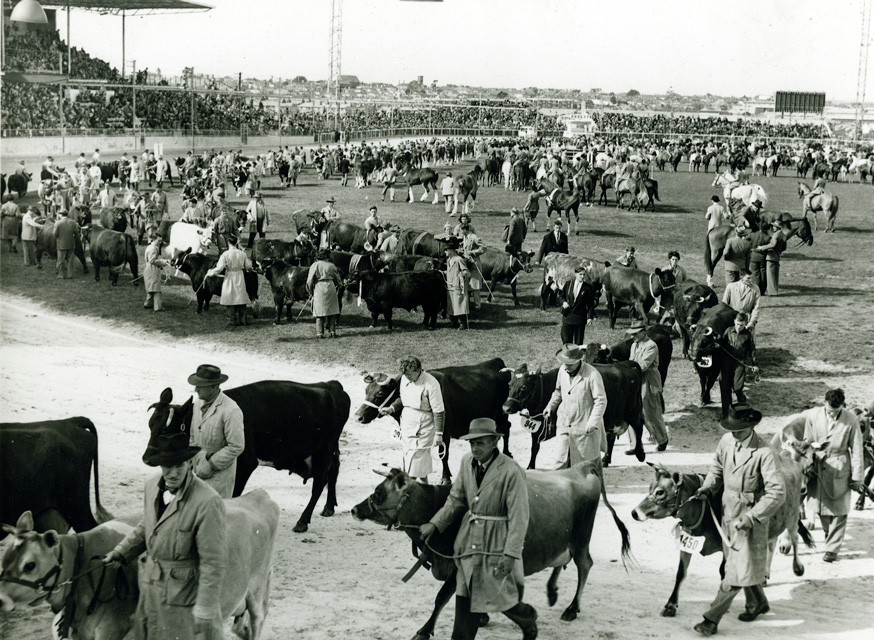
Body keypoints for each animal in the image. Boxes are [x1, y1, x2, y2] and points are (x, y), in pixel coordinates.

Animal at [148, 380, 350, 536]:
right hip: (330, 450)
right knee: (334, 470)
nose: (147, 457)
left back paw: (302, 522)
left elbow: (233, 494)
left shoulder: (245, 463)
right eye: (150, 424)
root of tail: (332, 385)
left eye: (166, 429)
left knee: (320, 481)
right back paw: (329, 507)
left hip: (324, 450)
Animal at [354, 358, 516, 482]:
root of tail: (495, 363)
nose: (357, 416)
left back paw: (507, 453)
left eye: (380, 394)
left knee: (506, 428)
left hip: (501, 414)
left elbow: (443, 454)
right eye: (366, 390)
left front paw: (446, 478)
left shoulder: (445, 430)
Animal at [500, 362, 644, 468]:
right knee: (611, 437)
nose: (506, 407)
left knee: (638, 426)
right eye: (509, 385)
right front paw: (530, 467)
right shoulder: (537, 428)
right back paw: (605, 460)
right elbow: (534, 448)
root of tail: (626, 365)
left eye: (524, 387)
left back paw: (640, 454)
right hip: (612, 417)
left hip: (632, 410)